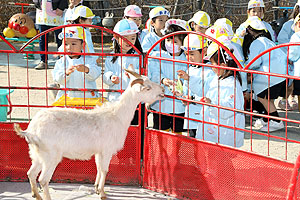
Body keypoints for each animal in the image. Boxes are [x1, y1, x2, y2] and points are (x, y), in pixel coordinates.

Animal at [13, 68, 164, 199]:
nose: (162, 90)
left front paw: (96, 188)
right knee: (43, 179)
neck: (117, 115)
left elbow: (98, 168)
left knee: (31, 173)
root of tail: (31, 131)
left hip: (37, 154)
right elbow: (105, 170)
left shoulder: (98, 151)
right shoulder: (106, 150)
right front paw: (102, 193)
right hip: (51, 156)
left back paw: (36, 195)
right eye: (148, 88)